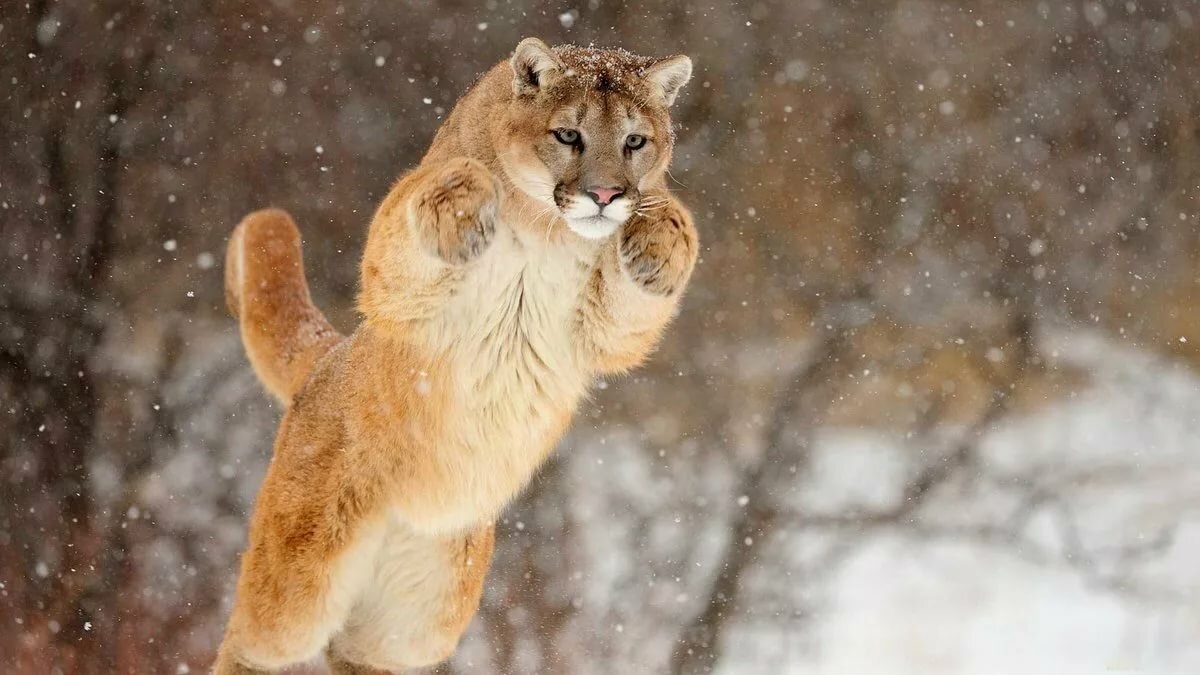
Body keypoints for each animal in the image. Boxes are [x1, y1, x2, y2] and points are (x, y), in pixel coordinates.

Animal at [215, 38, 698, 673]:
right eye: (569, 135)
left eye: (635, 141)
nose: (605, 195)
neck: (545, 226)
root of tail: (324, 361)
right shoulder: (397, 287)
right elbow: (422, 201)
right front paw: (464, 200)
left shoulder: (600, 332)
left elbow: (658, 256)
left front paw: (657, 240)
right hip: (296, 585)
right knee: (254, 642)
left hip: (410, 629)